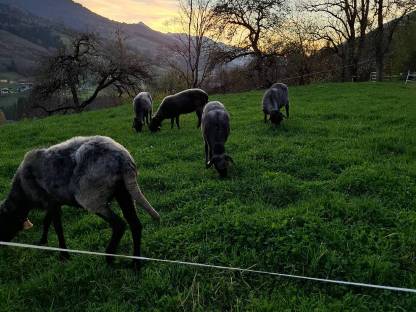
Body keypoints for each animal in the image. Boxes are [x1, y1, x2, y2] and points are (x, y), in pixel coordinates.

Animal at [0, 135, 159, 270]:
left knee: (119, 225)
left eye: (4, 222)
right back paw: (135, 264)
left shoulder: (50, 202)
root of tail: (124, 160)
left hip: (92, 197)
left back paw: (109, 258)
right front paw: (43, 241)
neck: (22, 193)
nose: (3, 244)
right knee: (135, 224)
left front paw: (63, 255)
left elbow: (56, 227)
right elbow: (47, 222)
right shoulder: (54, 202)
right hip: (123, 192)